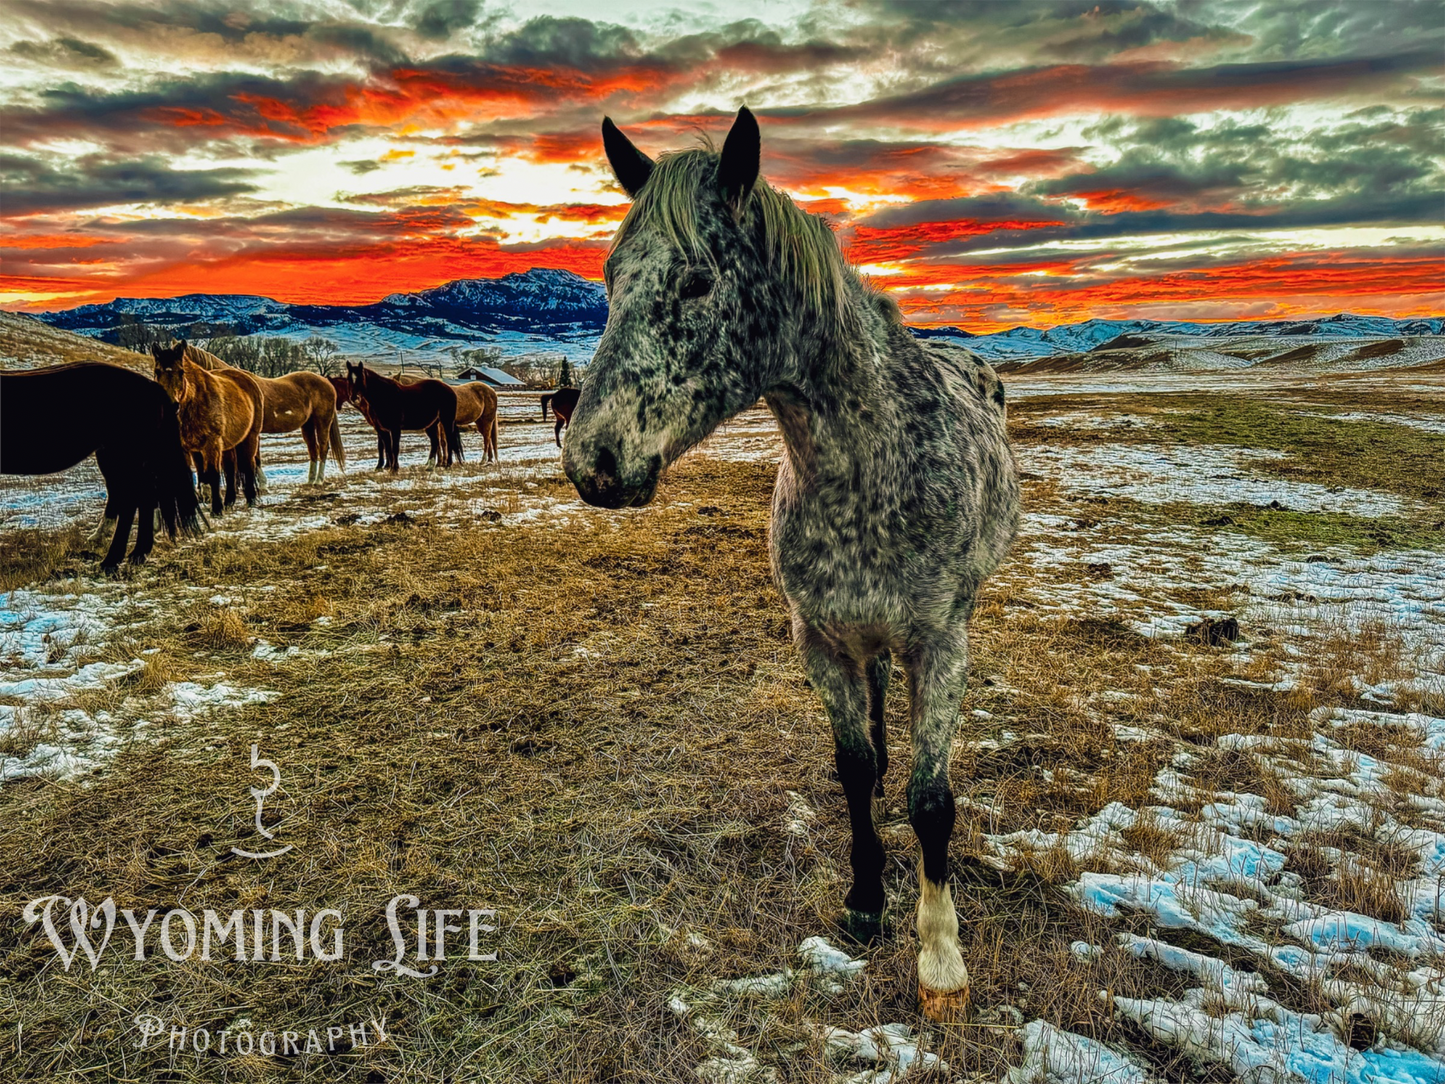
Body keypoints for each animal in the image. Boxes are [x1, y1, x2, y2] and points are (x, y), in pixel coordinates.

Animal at [0, 362, 205, 572]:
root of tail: (151, 386)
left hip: (124, 456)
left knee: (131, 502)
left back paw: (111, 560)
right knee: (144, 498)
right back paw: (137, 554)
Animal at [153, 345, 265, 520]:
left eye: (181, 372)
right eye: (157, 372)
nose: (171, 406)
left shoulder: (211, 445)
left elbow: (213, 474)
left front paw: (216, 509)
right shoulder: (188, 448)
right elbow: (198, 476)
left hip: (249, 438)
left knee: (248, 466)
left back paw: (250, 500)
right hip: (227, 446)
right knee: (230, 470)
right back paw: (229, 502)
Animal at [184, 345, 345, 485]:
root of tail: (326, 382)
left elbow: (254, 458)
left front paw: (261, 484)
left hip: (322, 421)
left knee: (323, 447)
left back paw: (319, 480)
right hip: (308, 425)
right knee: (313, 449)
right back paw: (311, 480)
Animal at [566, 106, 1028, 1017]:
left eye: (698, 282)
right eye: (608, 279)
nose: (590, 462)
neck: (870, 470)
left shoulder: (940, 644)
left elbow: (931, 801)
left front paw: (940, 960)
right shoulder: (816, 638)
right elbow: (853, 769)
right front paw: (863, 900)